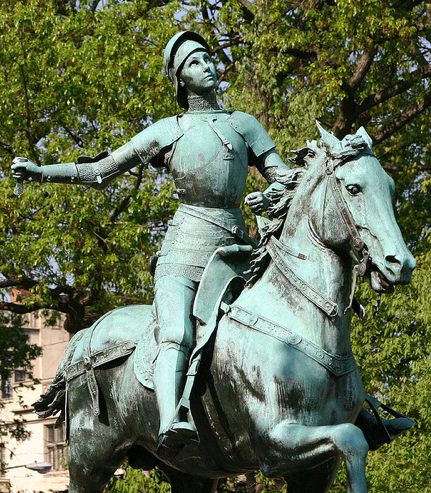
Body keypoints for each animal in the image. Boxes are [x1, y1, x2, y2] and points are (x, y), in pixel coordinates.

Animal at [36, 124, 416, 492]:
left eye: (390, 188)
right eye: (353, 188)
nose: (400, 263)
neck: (299, 317)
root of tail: (84, 337)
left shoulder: (315, 470)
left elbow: (353, 441)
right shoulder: (276, 442)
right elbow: (352, 438)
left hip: (191, 470)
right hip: (90, 457)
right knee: (174, 340)